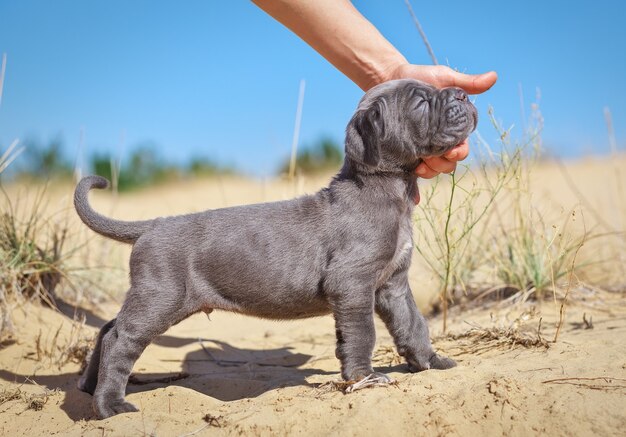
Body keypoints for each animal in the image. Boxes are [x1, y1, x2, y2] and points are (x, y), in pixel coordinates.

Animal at [73, 77, 476, 416]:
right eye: (421, 101)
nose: (463, 94)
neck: (389, 190)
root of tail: (152, 225)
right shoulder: (351, 284)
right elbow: (362, 334)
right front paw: (365, 378)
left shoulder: (393, 284)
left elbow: (413, 325)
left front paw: (431, 363)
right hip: (162, 296)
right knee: (121, 339)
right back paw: (110, 406)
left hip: (154, 297)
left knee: (108, 329)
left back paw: (88, 387)